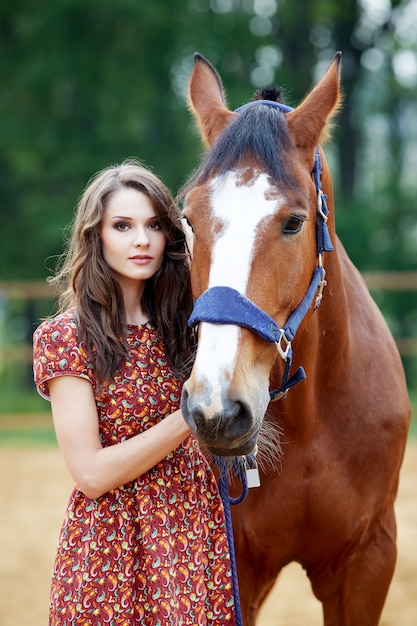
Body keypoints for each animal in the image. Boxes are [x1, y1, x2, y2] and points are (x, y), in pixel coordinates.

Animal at [180, 53, 410, 624]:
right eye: (188, 220)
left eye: (294, 222)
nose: (217, 407)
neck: (311, 427)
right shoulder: (236, 568)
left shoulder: (368, 560)